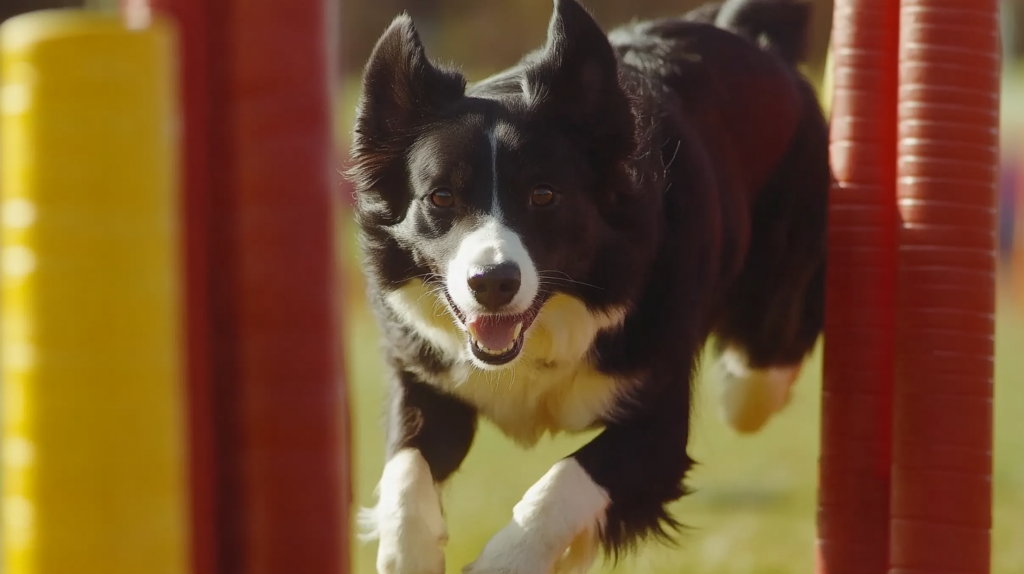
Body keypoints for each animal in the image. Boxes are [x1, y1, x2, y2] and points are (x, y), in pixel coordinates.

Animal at [348, 0, 827, 568]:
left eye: (544, 195)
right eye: (441, 197)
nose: (492, 283)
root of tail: (746, 33)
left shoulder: (656, 425)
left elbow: (561, 486)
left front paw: (504, 562)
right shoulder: (429, 377)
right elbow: (407, 468)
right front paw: (409, 556)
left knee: (763, 370)